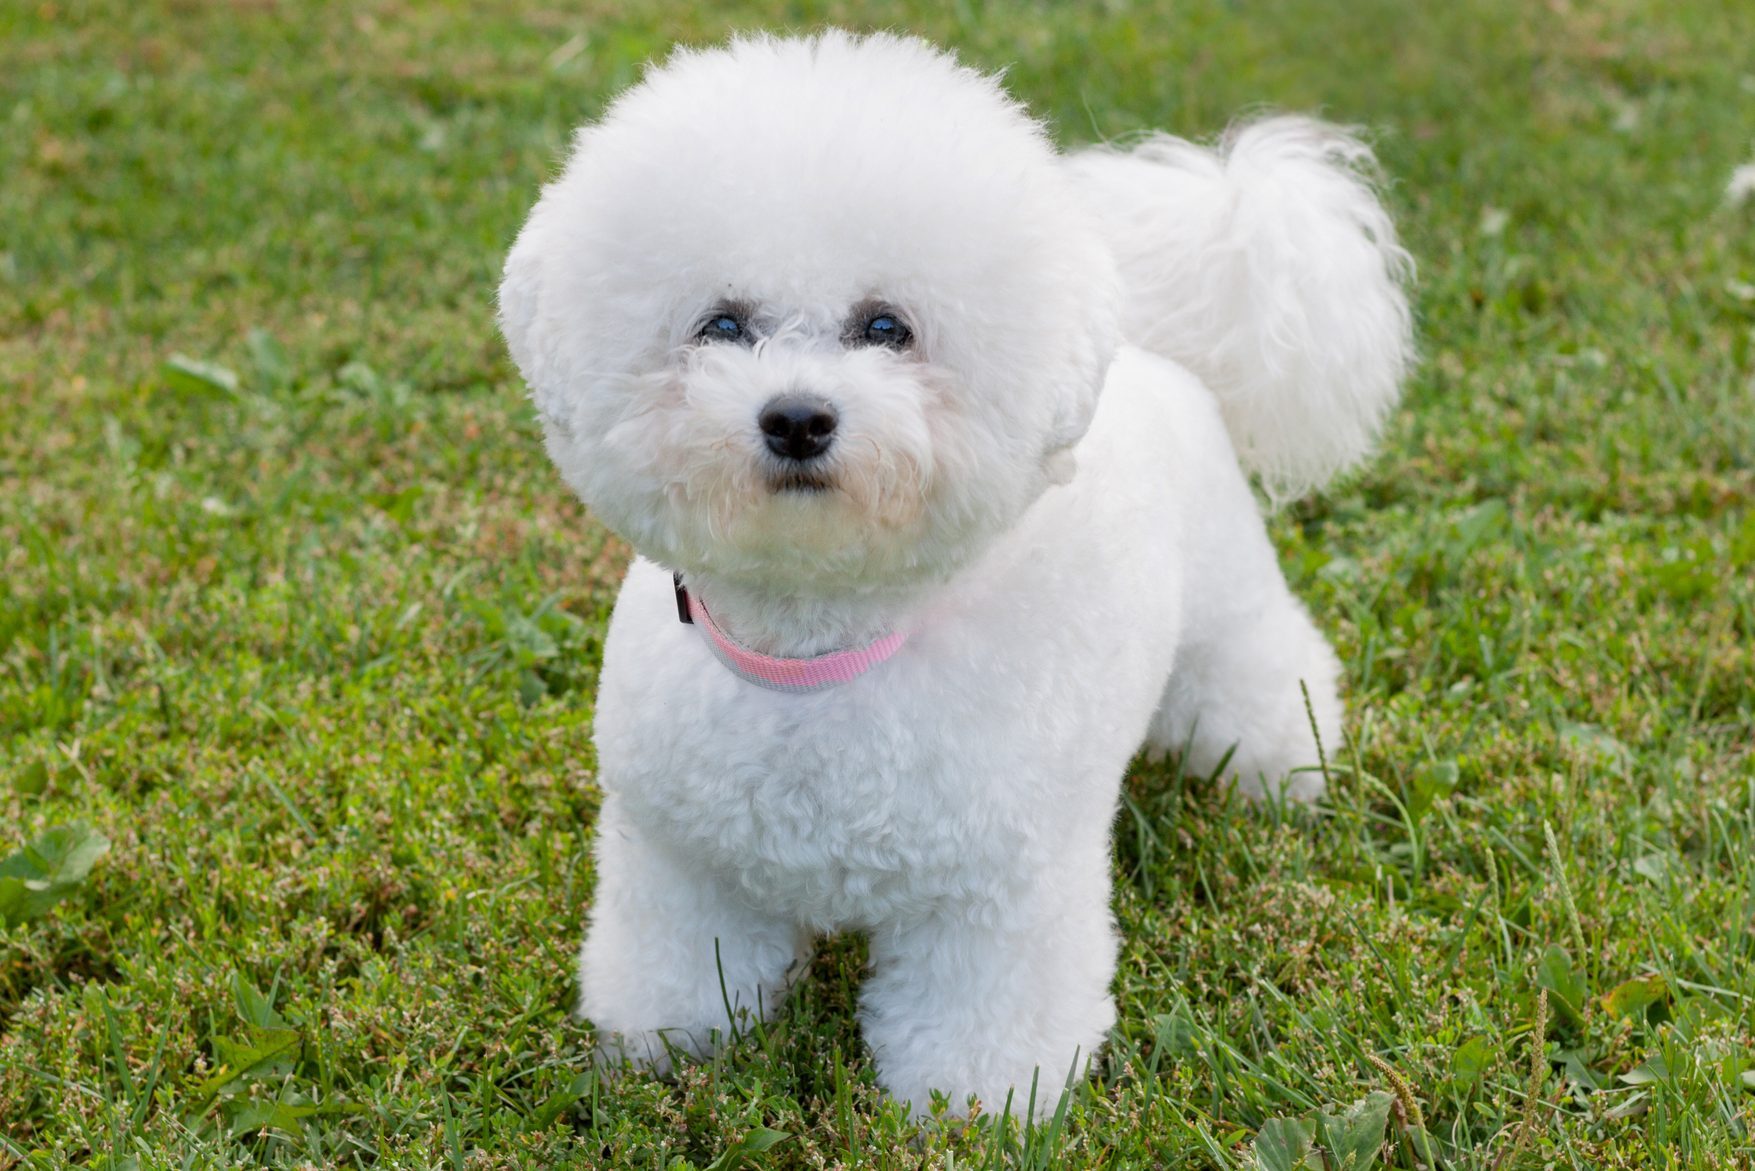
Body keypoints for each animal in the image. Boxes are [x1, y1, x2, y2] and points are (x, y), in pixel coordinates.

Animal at [498, 32, 1411, 1123]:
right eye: (720, 326)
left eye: (887, 328)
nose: (797, 417)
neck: (823, 649)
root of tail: (1153, 347)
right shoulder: (680, 858)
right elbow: (681, 963)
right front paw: (667, 1044)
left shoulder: (996, 891)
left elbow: (987, 1013)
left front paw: (980, 1106)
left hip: (1228, 611)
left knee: (1263, 676)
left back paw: (1283, 773)